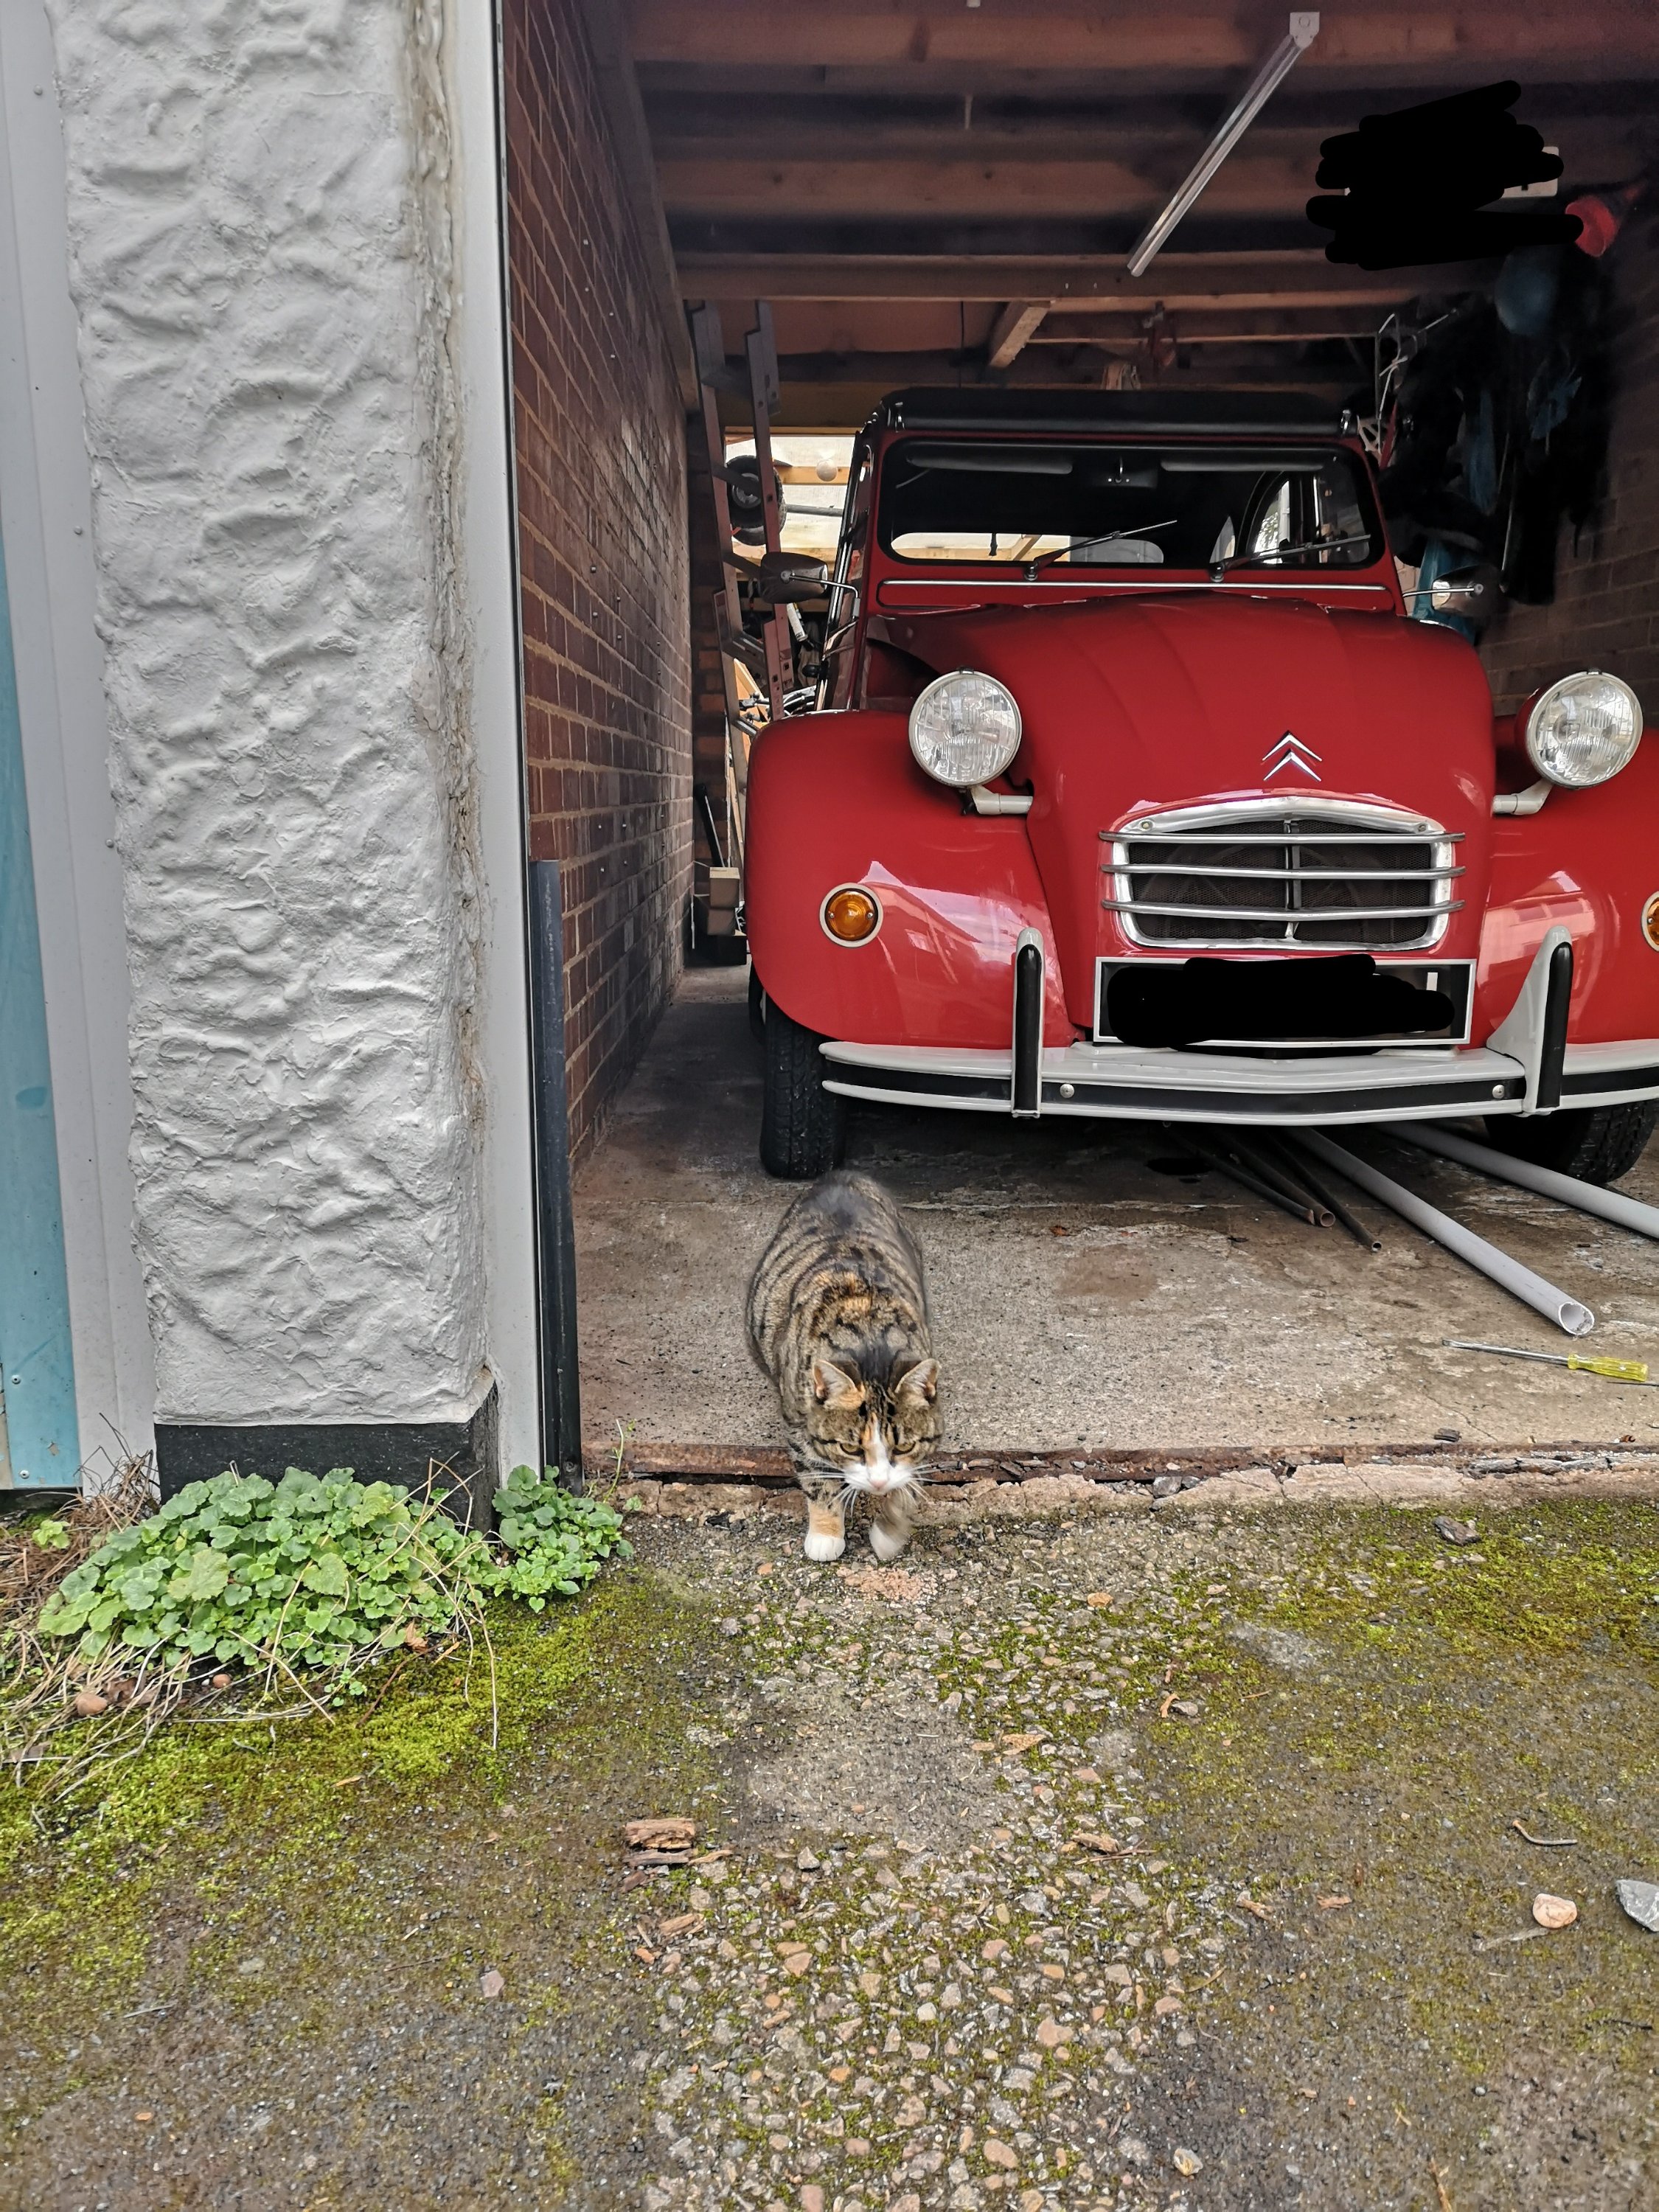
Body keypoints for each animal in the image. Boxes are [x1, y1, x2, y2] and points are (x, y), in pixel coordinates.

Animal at [746, 1170, 940, 1565]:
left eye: (902, 1447)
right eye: (851, 1449)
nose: (878, 1483)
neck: (870, 1339)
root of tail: (840, 1173)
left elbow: (911, 1479)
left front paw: (888, 1532)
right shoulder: (798, 1419)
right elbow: (817, 1475)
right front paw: (826, 1533)